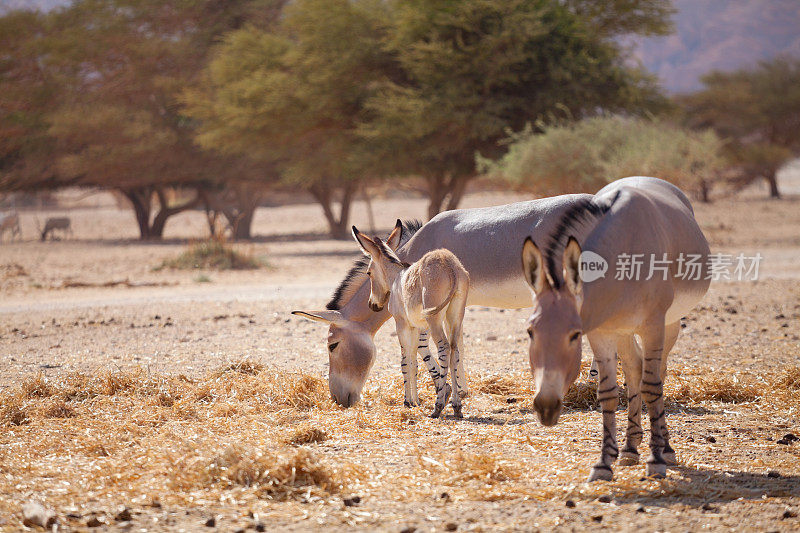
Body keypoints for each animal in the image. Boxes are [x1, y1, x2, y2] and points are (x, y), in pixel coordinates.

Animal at [352, 222, 468, 418]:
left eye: (368, 273)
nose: (372, 305)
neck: (396, 278)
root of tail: (450, 266)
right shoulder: (415, 326)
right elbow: (414, 360)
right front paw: (415, 401)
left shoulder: (402, 325)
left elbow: (405, 361)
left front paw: (408, 401)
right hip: (455, 316)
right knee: (455, 349)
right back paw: (457, 406)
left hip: (435, 320)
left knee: (444, 348)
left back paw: (438, 407)